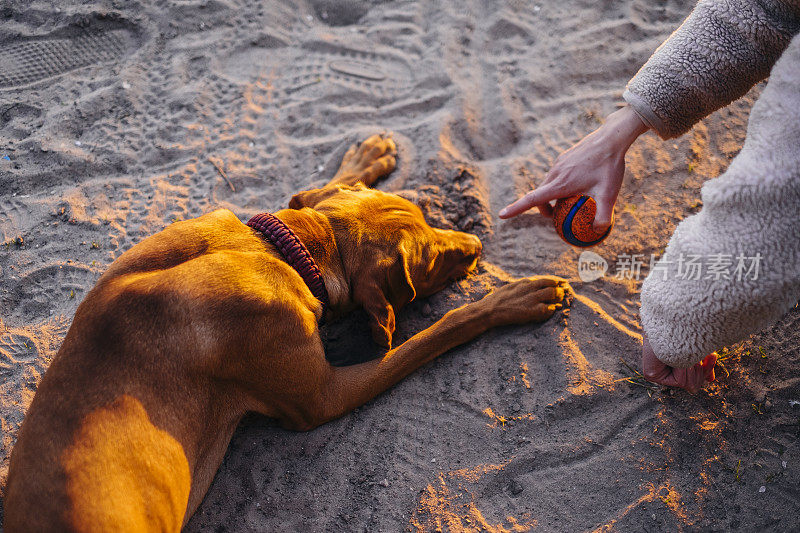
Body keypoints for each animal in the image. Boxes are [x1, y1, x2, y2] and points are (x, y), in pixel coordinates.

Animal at [6, 133, 568, 528]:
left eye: (427, 216)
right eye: (430, 260)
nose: (476, 246)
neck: (278, 251)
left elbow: (308, 193)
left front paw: (366, 157)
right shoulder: (321, 398)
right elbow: (444, 327)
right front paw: (515, 298)